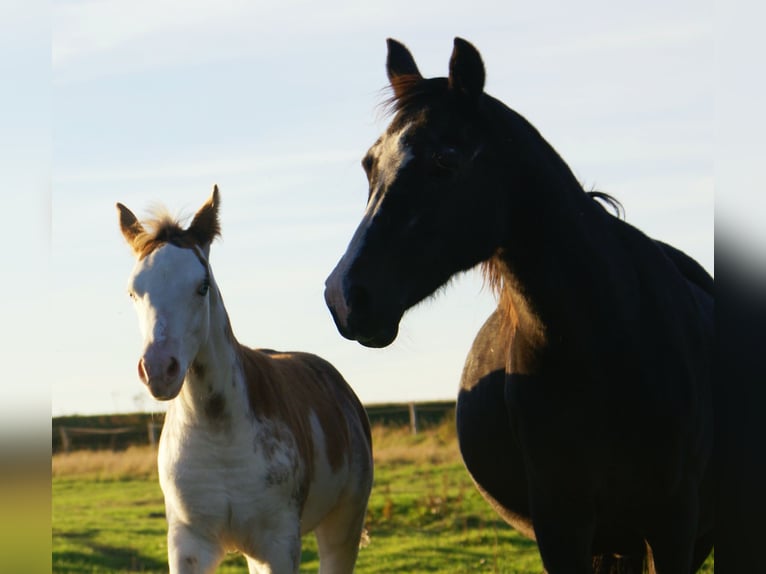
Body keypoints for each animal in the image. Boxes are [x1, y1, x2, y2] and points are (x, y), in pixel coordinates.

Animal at [118, 186, 373, 574]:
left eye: (202, 286)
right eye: (134, 291)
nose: (159, 369)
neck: (219, 432)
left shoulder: (279, 546)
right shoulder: (189, 546)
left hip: (342, 527)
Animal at [324, 38, 713, 573]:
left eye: (445, 161)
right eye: (369, 164)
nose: (343, 295)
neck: (614, 342)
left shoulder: (676, 525)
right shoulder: (562, 524)